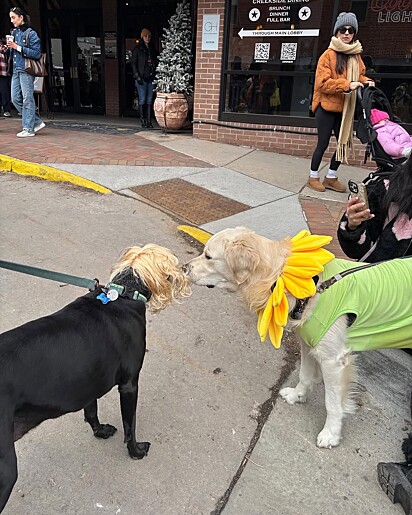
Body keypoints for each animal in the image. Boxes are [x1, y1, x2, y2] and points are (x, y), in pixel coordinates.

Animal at [0, 245, 191, 512]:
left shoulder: (89, 380)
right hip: (5, 470)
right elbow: (130, 426)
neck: (124, 293)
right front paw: (136, 451)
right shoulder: (130, 385)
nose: (186, 268)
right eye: (173, 264)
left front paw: (100, 431)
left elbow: (91, 412)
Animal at [185, 228, 412, 450]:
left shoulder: (333, 360)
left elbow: (332, 403)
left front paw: (330, 434)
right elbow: (305, 375)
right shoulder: (308, 344)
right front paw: (297, 396)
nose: (184, 267)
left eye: (208, 256)